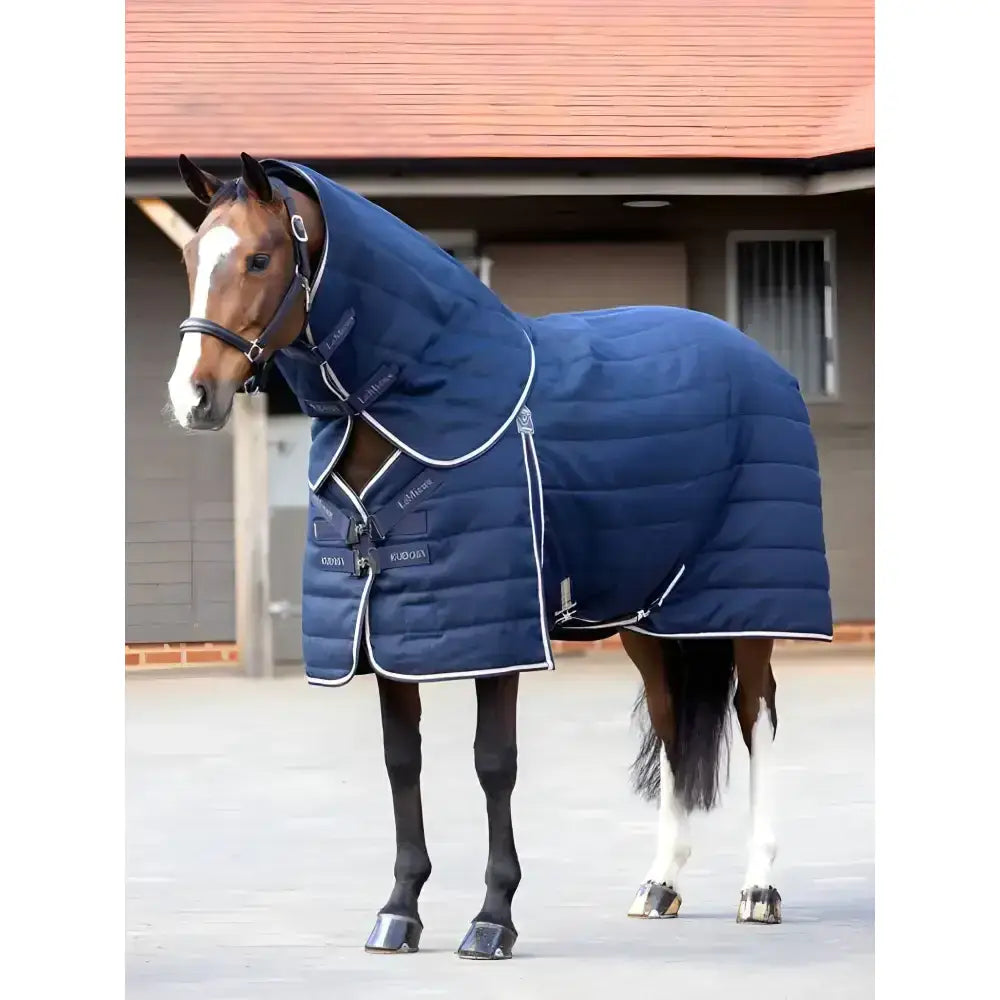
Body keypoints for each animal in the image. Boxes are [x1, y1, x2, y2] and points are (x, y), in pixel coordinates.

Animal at [166, 151, 832, 959]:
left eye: (260, 259)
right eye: (191, 256)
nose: (191, 396)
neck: (424, 407)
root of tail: (761, 361)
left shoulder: (498, 634)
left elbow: (494, 765)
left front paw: (492, 919)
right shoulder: (390, 631)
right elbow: (402, 762)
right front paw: (399, 913)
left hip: (749, 609)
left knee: (755, 717)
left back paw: (758, 890)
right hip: (648, 619)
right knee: (675, 724)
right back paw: (659, 884)